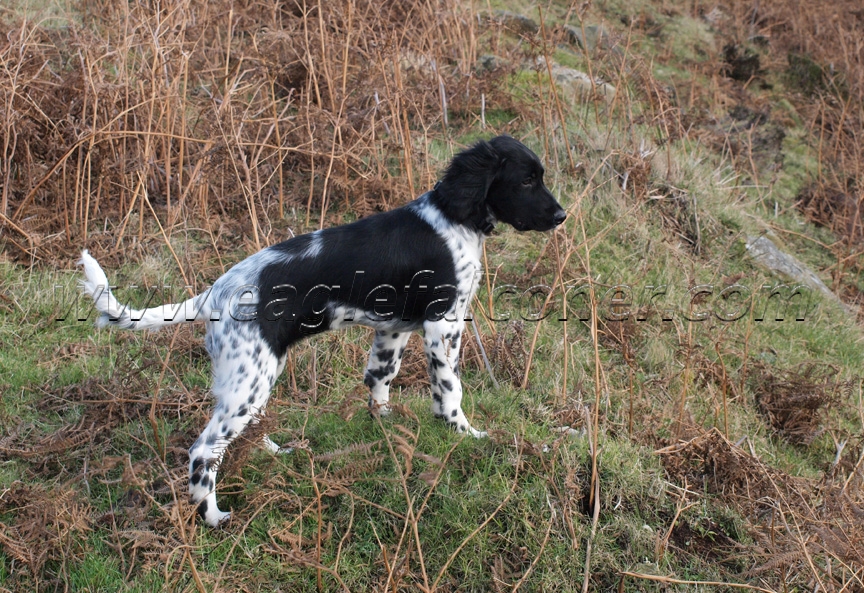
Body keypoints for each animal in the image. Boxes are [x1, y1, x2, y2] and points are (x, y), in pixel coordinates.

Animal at [79, 136, 568, 524]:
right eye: (527, 181)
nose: (562, 215)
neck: (454, 219)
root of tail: (214, 293)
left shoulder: (393, 329)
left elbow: (380, 376)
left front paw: (385, 424)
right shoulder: (442, 323)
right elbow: (450, 389)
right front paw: (464, 433)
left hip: (253, 377)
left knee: (244, 431)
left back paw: (276, 452)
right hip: (249, 381)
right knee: (204, 450)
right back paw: (212, 515)